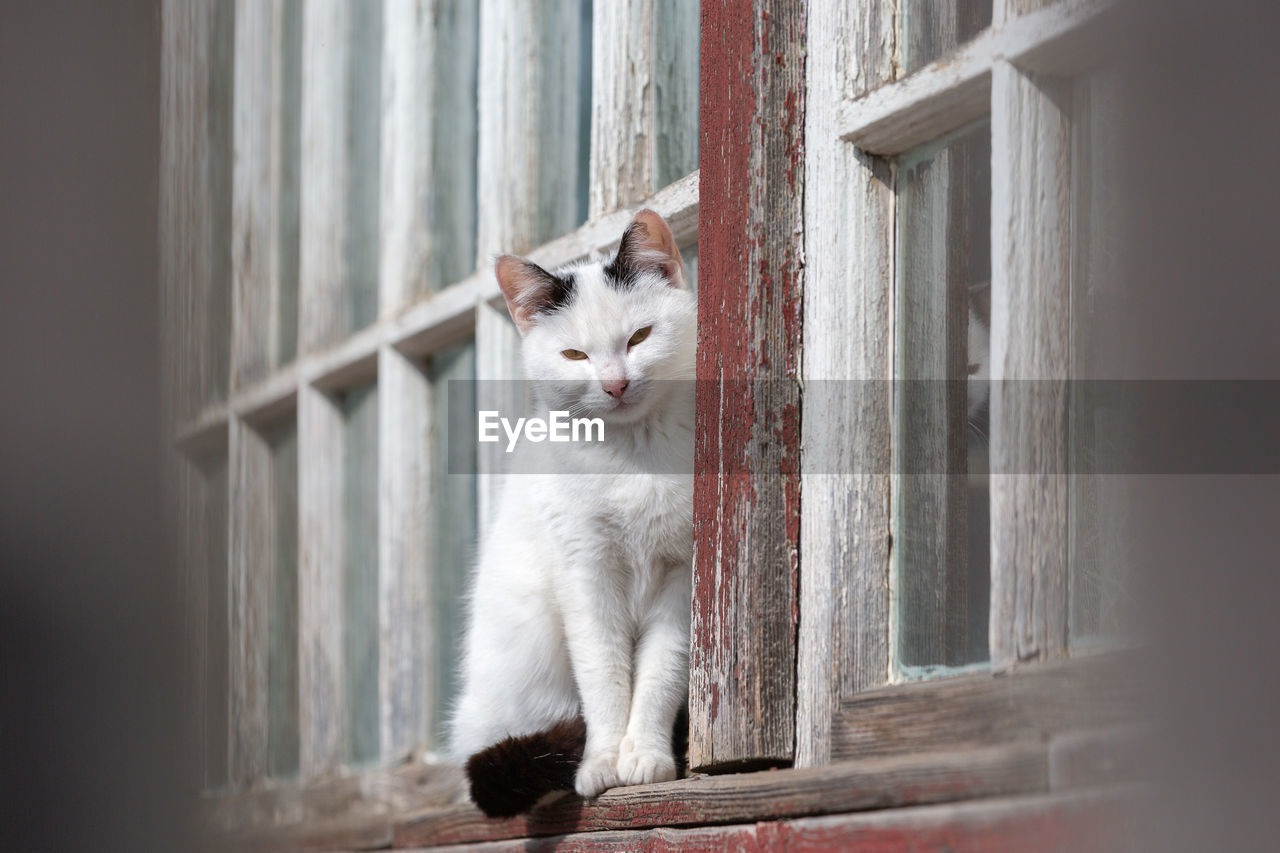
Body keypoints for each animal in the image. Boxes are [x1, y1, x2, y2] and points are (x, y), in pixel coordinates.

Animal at [448, 207, 696, 809]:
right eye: (575, 355)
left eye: (640, 336)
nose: (615, 384)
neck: (633, 456)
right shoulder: (584, 570)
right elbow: (603, 671)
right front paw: (602, 762)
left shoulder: (683, 572)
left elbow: (662, 668)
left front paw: (646, 756)